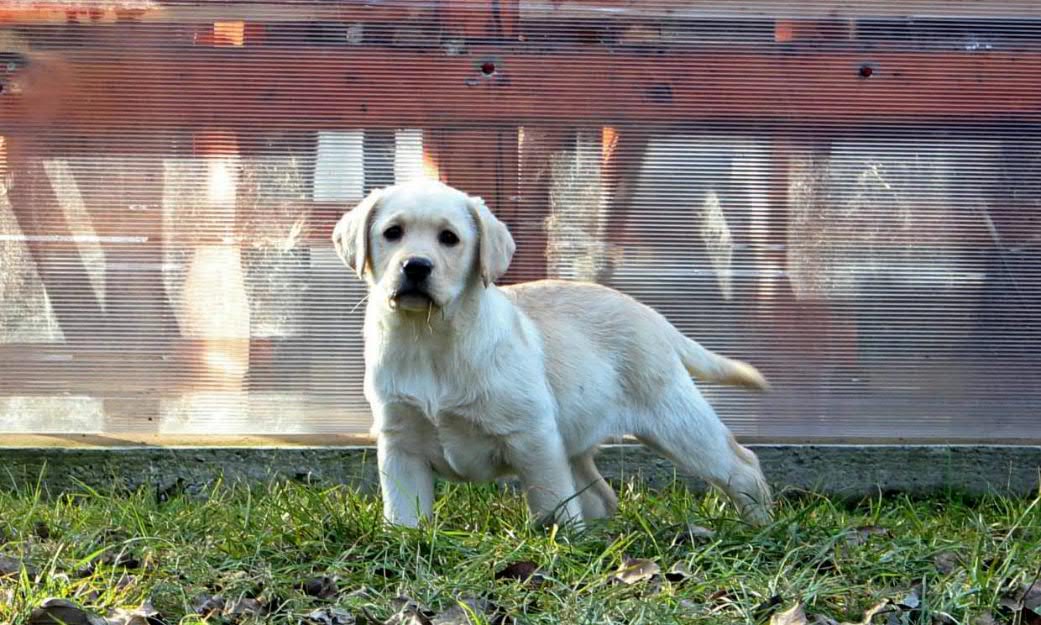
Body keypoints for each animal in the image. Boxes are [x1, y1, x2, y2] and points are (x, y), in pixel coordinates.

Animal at [333, 178, 774, 529]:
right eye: (393, 232)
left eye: (449, 238)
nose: (416, 266)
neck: (428, 339)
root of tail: (649, 314)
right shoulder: (400, 442)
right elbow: (404, 508)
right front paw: (405, 541)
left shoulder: (534, 436)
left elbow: (552, 500)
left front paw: (559, 544)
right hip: (579, 440)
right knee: (602, 496)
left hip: (675, 420)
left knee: (742, 464)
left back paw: (760, 525)